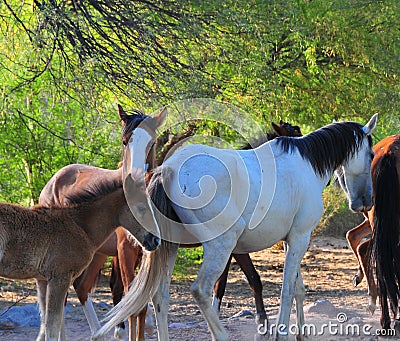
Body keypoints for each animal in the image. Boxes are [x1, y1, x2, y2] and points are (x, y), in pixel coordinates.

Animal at [0, 181, 158, 340]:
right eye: (141, 208)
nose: (156, 240)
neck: (80, 226)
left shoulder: (42, 280)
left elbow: (44, 325)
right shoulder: (60, 278)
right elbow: (52, 326)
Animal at [95, 112, 376, 340]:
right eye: (371, 154)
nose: (366, 202)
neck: (307, 163)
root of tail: (169, 170)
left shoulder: (292, 240)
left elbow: (298, 290)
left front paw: (301, 335)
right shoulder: (299, 238)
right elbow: (287, 290)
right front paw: (282, 334)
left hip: (170, 247)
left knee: (160, 297)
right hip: (220, 245)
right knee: (200, 290)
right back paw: (220, 335)